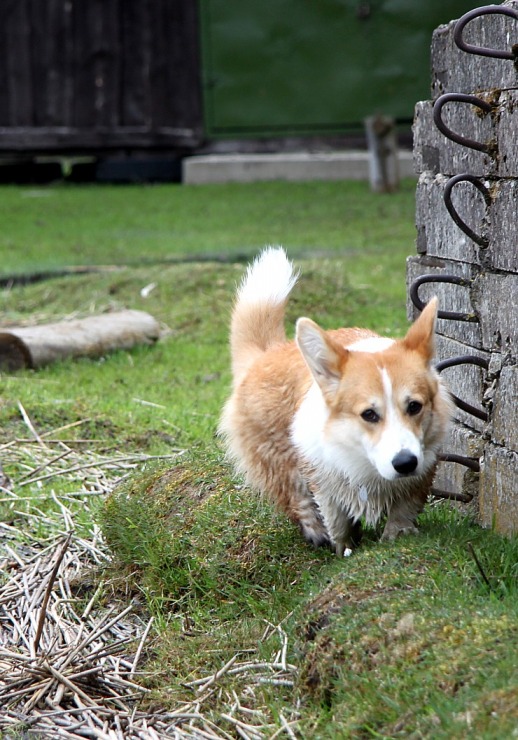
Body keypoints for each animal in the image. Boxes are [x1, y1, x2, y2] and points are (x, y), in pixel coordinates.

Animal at [220, 249, 456, 556]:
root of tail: (267, 353)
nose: (405, 463)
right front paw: (342, 551)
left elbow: (404, 510)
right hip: (279, 460)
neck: (365, 462)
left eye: (414, 406)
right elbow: (338, 524)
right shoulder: (325, 484)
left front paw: (398, 536)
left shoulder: (422, 471)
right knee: (296, 498)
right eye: (369, 414)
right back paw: (315, 530)